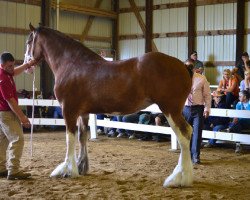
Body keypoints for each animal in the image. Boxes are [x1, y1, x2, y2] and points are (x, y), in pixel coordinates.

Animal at [24, 24, 193, 188]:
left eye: (28, 42)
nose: (26, 66)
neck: (72, 64)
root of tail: (184, 66)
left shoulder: (69, 110)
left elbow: (69, 139)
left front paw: (66, 170)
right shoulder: (83, 113)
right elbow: (82, 137)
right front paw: (81, 167)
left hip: (170, 109)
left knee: (184, 134)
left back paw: (179, 178)